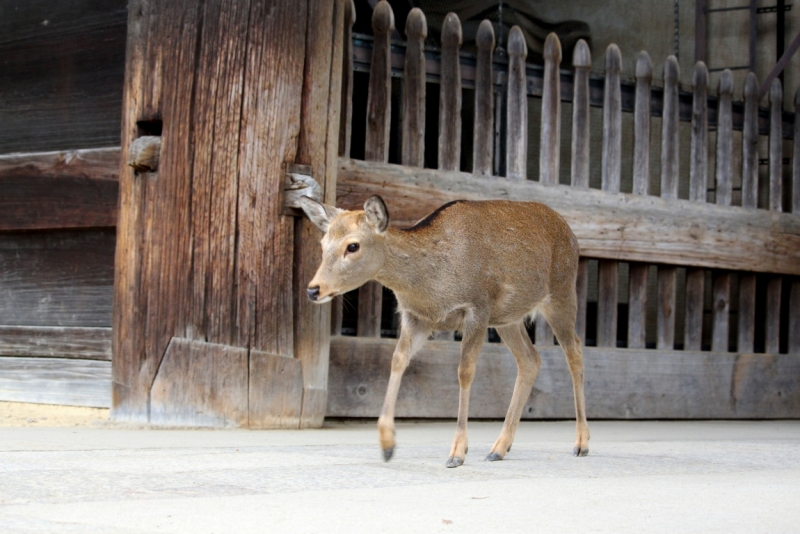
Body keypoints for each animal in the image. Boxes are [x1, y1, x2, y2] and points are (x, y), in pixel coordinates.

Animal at [300, 196, 588, 468]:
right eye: (323, 244)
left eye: (353, 246)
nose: (313, 289)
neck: (430, 287)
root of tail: (571, 235)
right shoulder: (415, 318)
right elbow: (397, 360)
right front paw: (387, 445)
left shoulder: (477, 307)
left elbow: (465, 372)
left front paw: (457, 453)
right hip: (507, 319)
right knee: (530, 360)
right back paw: (498, 448)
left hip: (561, 294)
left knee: (574, 350)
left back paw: (581, 443)